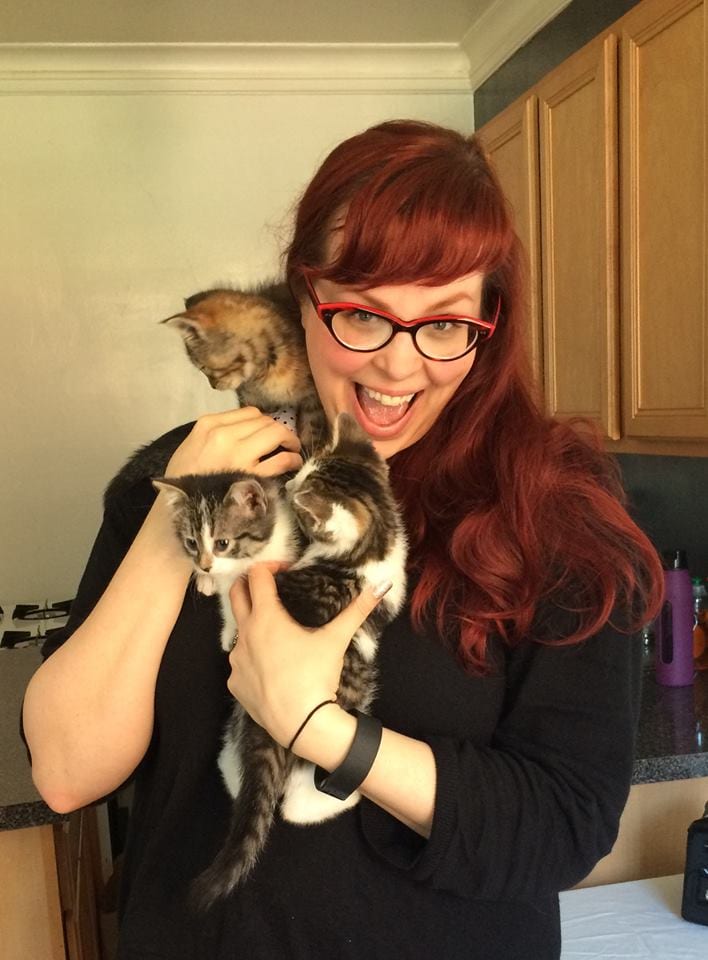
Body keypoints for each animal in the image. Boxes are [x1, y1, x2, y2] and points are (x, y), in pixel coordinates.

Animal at [162, 282, 328, 455]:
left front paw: (310, 452)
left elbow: (312, 429)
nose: (213, 386)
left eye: (202, 367)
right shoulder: (251, 400)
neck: (264, 372)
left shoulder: (314, 398)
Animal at [190, 413, 408, 909]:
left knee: (290, 805)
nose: (286, 488)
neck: (375, 543)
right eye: (302, 474)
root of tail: (267, 740)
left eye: (303, 493)